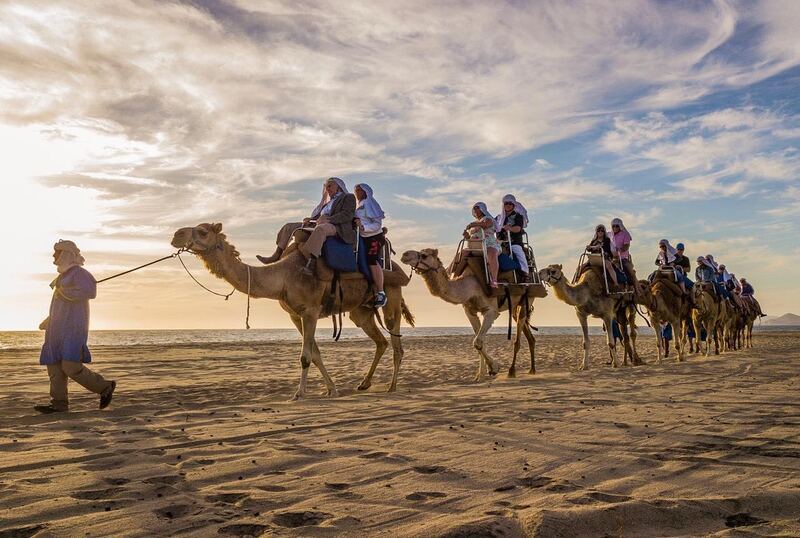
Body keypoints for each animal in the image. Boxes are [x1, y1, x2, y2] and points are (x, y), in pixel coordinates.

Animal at [172, 222, 416, 398]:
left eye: (203, 231)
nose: (176, 235)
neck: (283, 277)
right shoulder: (295, 316)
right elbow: (315, 354)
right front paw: (331, 389)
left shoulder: (310, 311)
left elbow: (305, 356)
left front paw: (299, 393)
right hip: (361, 311)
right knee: (380, 341)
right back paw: (364, 383)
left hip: (391, 296)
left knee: (396, 342)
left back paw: (392, 387)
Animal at [400, 247, 544, 376]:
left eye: (424, 255)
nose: (404, 254)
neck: (470, 287)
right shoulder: (469, 311)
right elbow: (479, 341)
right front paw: (480, 374)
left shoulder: (491, 311)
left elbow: (477, 342)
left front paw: (494, 368)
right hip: (515, 306)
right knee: (528, 335)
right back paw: (532, 370)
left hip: (527, 299)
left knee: (518, 337)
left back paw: (512, 371)